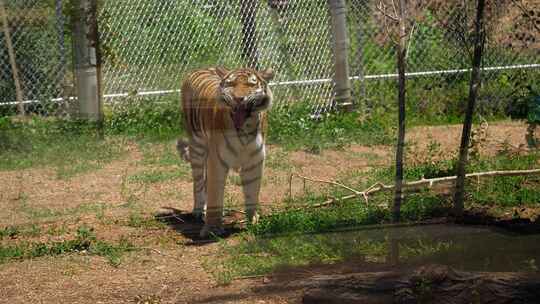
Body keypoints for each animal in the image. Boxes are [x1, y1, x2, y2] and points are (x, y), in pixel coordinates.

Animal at [177, 66, 274, 238]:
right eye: (231, 84)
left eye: (251, 84)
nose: (239, 99)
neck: (245, 129)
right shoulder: (217, 161)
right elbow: (215, 194)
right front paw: (212, 229)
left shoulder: (255, 161)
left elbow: (252, 193)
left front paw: (253, 222)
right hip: (197, 147)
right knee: (198, 182)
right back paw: (198, 211)